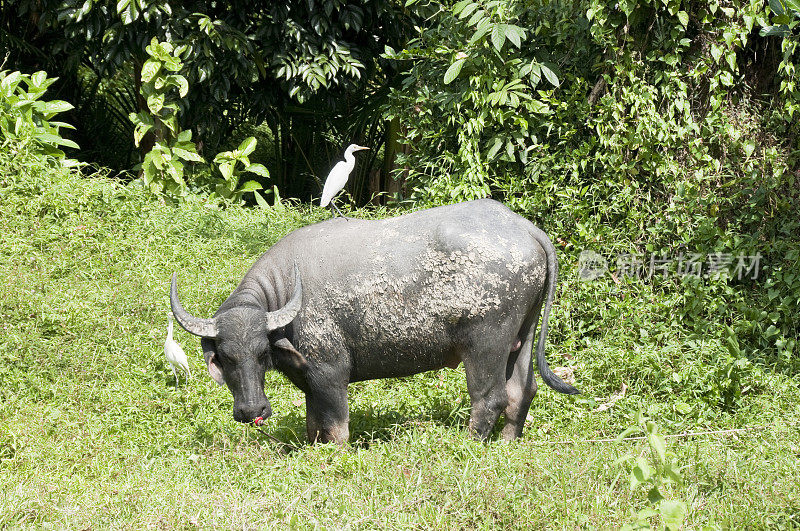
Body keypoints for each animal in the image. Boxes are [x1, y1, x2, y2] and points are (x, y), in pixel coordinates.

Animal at [172, 197, 580, 442]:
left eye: (261, 354)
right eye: (226, 358)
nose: (251, 410)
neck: (288, 292)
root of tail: (525, 228)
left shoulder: (330, 372)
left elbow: (336, 427)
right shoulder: (309, 380)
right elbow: (313, 424)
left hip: (485, 342)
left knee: (491, 397)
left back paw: (469, 445)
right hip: (521, 336)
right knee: (522, 390)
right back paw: (507, 443)